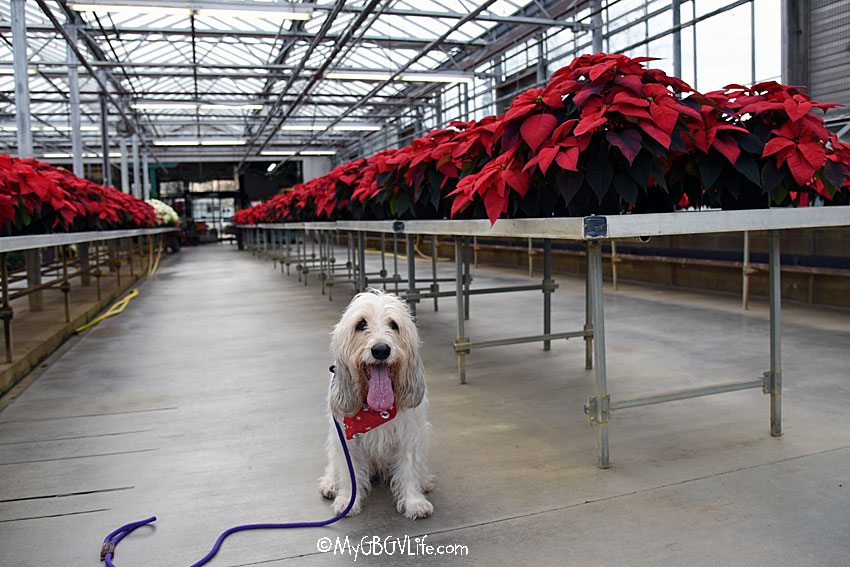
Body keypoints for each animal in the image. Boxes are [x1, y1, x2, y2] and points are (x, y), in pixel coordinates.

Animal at [322, 290, 434, 520]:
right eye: (361, 324)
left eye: (393, 325)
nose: (381, 349)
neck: (374, 412)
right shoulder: (345, 440)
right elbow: (348, 472)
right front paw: (347, 500)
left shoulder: (410, 433)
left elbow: (409, 467)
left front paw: (414, 502)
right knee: (333, 466)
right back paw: (330, 483)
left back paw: (424, 480)